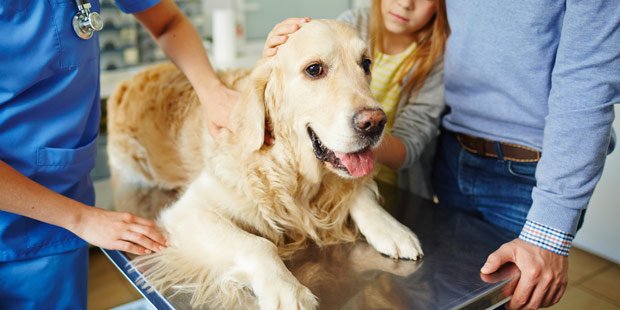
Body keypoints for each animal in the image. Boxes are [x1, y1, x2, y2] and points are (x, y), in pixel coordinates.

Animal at [108, 20, 422, 310]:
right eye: (314, 69)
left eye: (366, 64)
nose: (375, 123)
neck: (291, 169)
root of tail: (132, 77)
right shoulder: (189, 210)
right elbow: (258, 244)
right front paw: (287, 288)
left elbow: (361, 195)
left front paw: (391, 229)